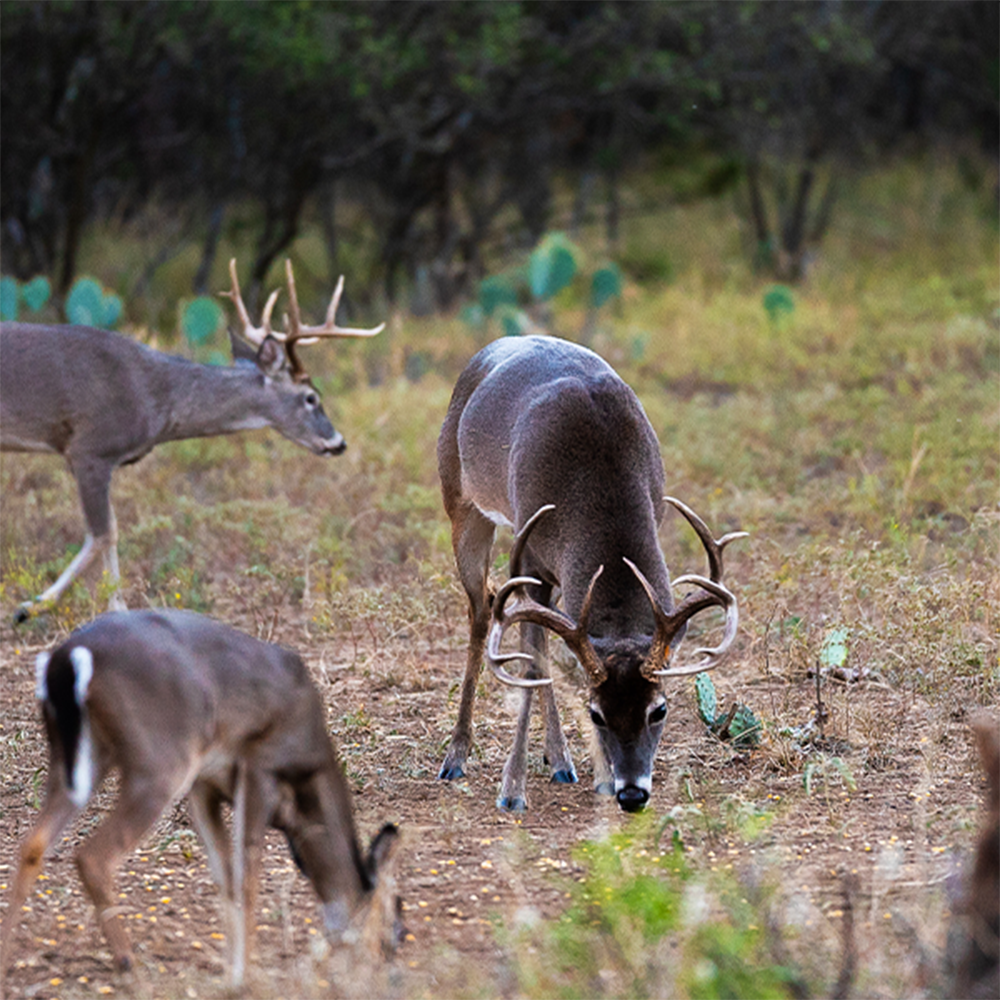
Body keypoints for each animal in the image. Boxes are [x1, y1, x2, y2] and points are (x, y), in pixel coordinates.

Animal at [0, 259, 383, 622]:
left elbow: (112, 529)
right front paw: (32, 607)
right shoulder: (90, 449)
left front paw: (114, 608)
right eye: (311, 397)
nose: (339, 442)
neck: (157, 398)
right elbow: (104, 532)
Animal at [0, 609, 400, 990]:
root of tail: (68, 657)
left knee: (33, 844)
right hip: (161, 760)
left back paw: (7, 964)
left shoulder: (204, 785)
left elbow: (224, 876)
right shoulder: (259, 765)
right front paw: (244, 977)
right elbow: (246, 875)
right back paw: (132, 970)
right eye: (395, 930)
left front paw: (230, 972)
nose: (385, 975)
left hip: (79, 754)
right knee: (92, 856)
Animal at [436, 335, 746, 812]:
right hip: (461, 502)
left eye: (660, 709)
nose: (632, 793)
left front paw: (595, 774)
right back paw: (457, 756)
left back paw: (559, 759)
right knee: (483, 611)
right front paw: (512, 790)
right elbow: (531, 661)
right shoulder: (529, 554)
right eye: (595, 713)